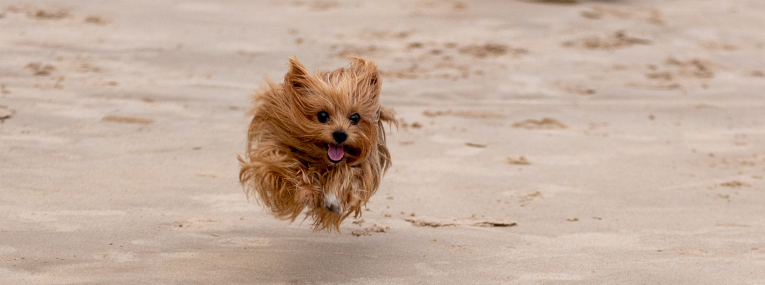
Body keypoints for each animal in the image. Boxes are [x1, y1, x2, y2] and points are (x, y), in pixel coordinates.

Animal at [237, 56, 394, 231]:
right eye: (322, 115)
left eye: (355, 117)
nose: (340, 134)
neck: (322, 161)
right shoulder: (274, 152)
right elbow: (289, 168)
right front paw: (308, 191)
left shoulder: (362, 166)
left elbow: (349, 177)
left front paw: (334, 199)